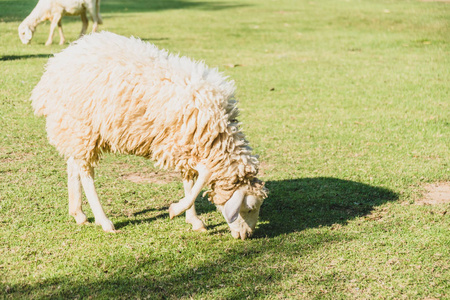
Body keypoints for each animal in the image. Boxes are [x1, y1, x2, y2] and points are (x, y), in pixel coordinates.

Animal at [32, 31, 270, 240]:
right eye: (249, 208)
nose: (248, 236)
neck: (219, 137)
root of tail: (54, 66)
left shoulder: (186, 145)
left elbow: (190, 181)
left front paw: (193, 220)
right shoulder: (184, 144)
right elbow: (201, 179)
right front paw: (176, 210)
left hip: (73, 129)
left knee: (73, 165)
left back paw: (78, 213)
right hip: (82, 127)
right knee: (86, 174)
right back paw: (104, 220)